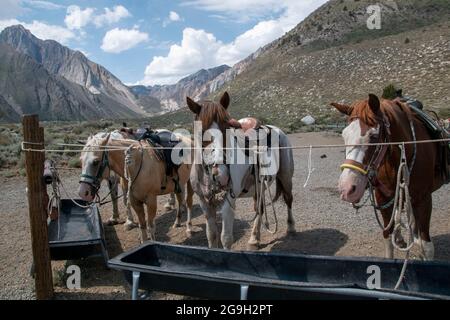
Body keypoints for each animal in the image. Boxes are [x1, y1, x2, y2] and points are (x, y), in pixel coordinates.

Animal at [186, 90, 296, 250]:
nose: (221, 175)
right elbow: (211, 236)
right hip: (259, 187)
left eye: (227, 128)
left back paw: (291, 228)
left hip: (286, 177)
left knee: (288, 199)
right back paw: (254, 239)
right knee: (259, 209)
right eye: (201, 132)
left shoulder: (228, 202)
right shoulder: (204, 203)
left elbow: (225, 238)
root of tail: (275, 129)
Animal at [330, 94, 446, 262]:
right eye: (344, 135)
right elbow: (388, 238)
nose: (347, 188)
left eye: (373, 136)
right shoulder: (382, 197)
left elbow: (427, 247)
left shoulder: (424, 199)